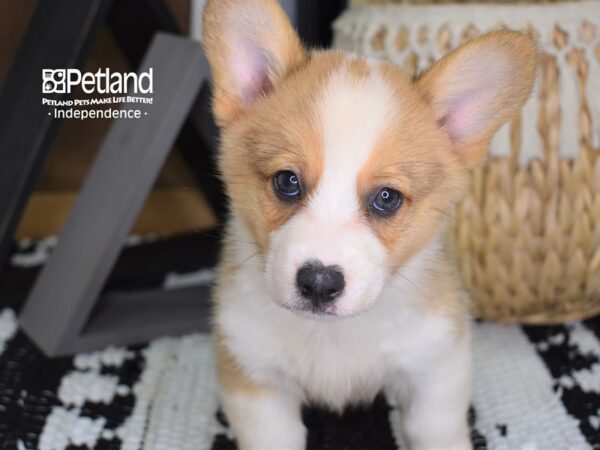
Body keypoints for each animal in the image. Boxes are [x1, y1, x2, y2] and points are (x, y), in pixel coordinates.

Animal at [200, 1, 536, 448]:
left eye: (387, 198)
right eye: (287, 181)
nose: (319, 283)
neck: (334, 338)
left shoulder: (436, 368)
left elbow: (435, 430)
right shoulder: (255, 380)